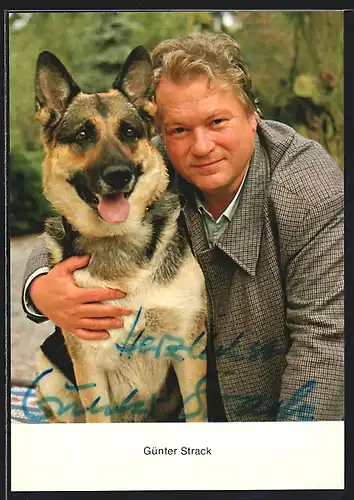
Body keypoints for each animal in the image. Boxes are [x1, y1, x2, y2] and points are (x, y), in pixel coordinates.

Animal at [34, 46, 207, 422]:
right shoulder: (90, 368)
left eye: (128, 132)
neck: (117, 244)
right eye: (83, 135)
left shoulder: (189, 351)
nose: (118, 175)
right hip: (49, 371)